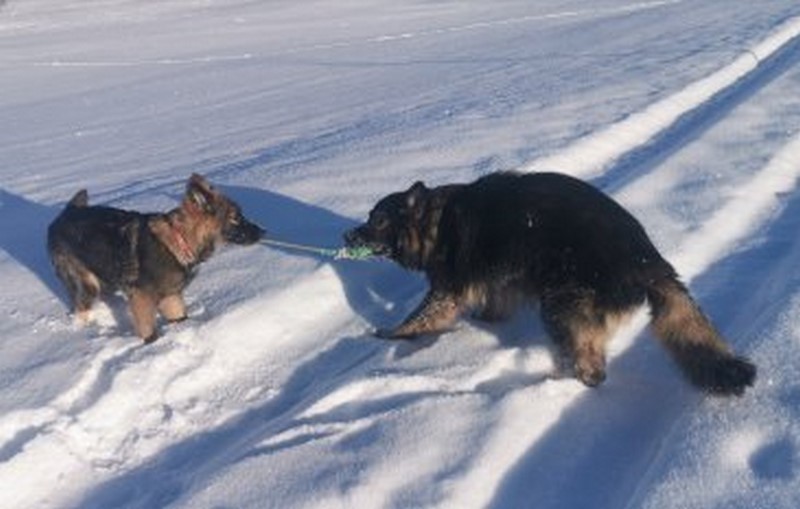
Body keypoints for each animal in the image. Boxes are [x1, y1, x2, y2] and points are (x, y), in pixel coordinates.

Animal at [48, 174, 264, 342]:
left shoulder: (171, 297)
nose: (264, 232)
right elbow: (149, 332)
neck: (180, 240)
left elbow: (180, 318)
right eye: (235, 218)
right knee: (81, 310)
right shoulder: (141, 300)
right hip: (87, 285)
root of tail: (67, 213)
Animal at [345, 171, 756, 395]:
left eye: (378, 220)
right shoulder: (498, 282)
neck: (436, 219)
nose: (347, 235)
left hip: (560, 306)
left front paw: (388, 336)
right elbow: (493, 304)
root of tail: (647, 261)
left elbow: (419, 317)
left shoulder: (445, 290)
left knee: (591, 367)